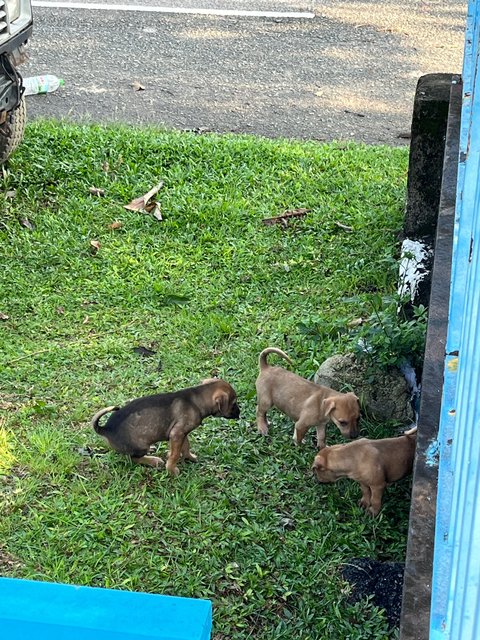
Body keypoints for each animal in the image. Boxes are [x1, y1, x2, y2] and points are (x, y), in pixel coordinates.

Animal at [91, 378, 240, 478]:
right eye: (233, 404)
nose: (240, 413)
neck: (197, 400)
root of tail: (105, 429)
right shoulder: (177, 433)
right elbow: (175, 455)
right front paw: (172, 470)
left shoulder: (181, 433)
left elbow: (185, 447)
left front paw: (189, 457)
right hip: (140, 446)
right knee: (132, 458)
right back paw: (153, 460)